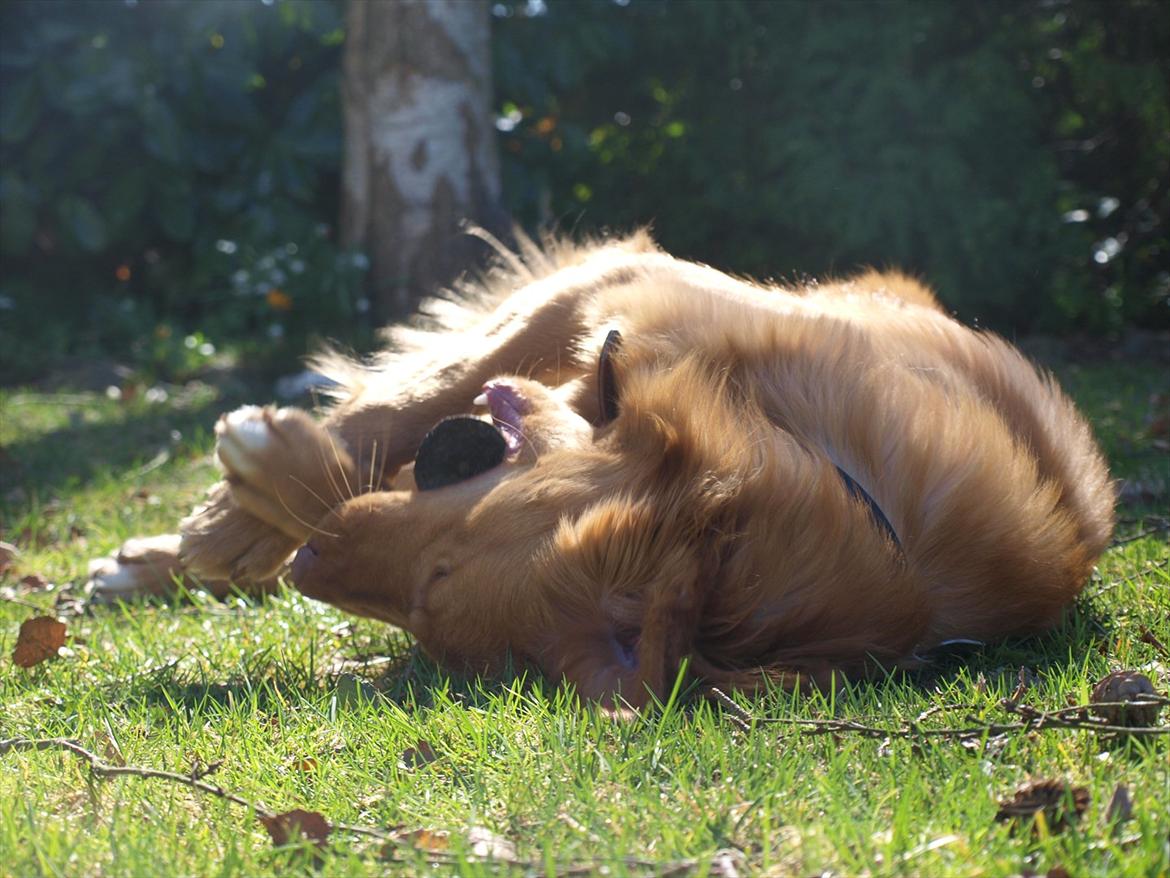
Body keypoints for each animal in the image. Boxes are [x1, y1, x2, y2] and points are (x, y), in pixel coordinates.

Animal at [91, 231, 1113, 707]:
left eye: (428, 595)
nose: (312, 566)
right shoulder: (617, 285)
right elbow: (400, 405)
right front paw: (224, 522)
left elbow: (352, 464)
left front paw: (274, 476)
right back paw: (167, 556)